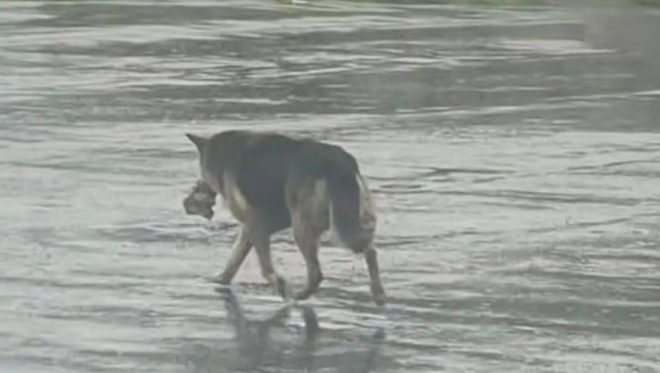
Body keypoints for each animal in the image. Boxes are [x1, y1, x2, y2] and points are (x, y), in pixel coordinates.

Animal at [183, 129, 384, 304]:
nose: (192, 193)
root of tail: (339, 164)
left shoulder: (256, 223)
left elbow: (263, 265)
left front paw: (280, 285)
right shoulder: (257, 224)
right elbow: (235, 258)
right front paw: (222, 280)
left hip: (303, 228)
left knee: (316, 273)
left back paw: (298, 297)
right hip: (351, 219)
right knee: (370, 250)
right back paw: (378, 292)